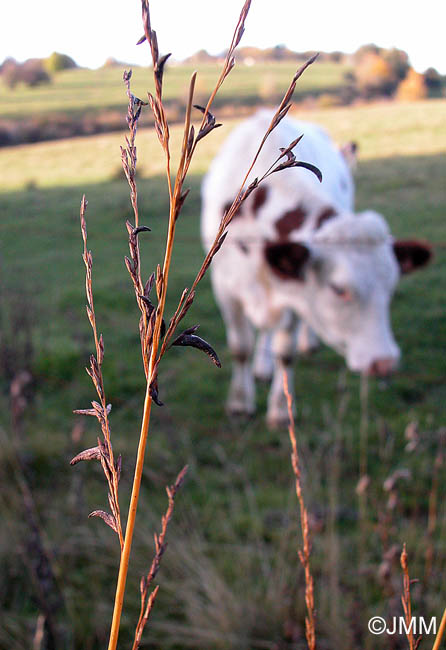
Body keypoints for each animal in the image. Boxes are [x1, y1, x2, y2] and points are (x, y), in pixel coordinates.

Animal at [200, 110, 430, 426]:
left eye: (391, 290)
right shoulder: (225, 286)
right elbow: (241, 347)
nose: (384, 362)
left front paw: (281, 409)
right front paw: (239, 403)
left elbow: (286, 353)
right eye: (339, 289)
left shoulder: (297, 293)